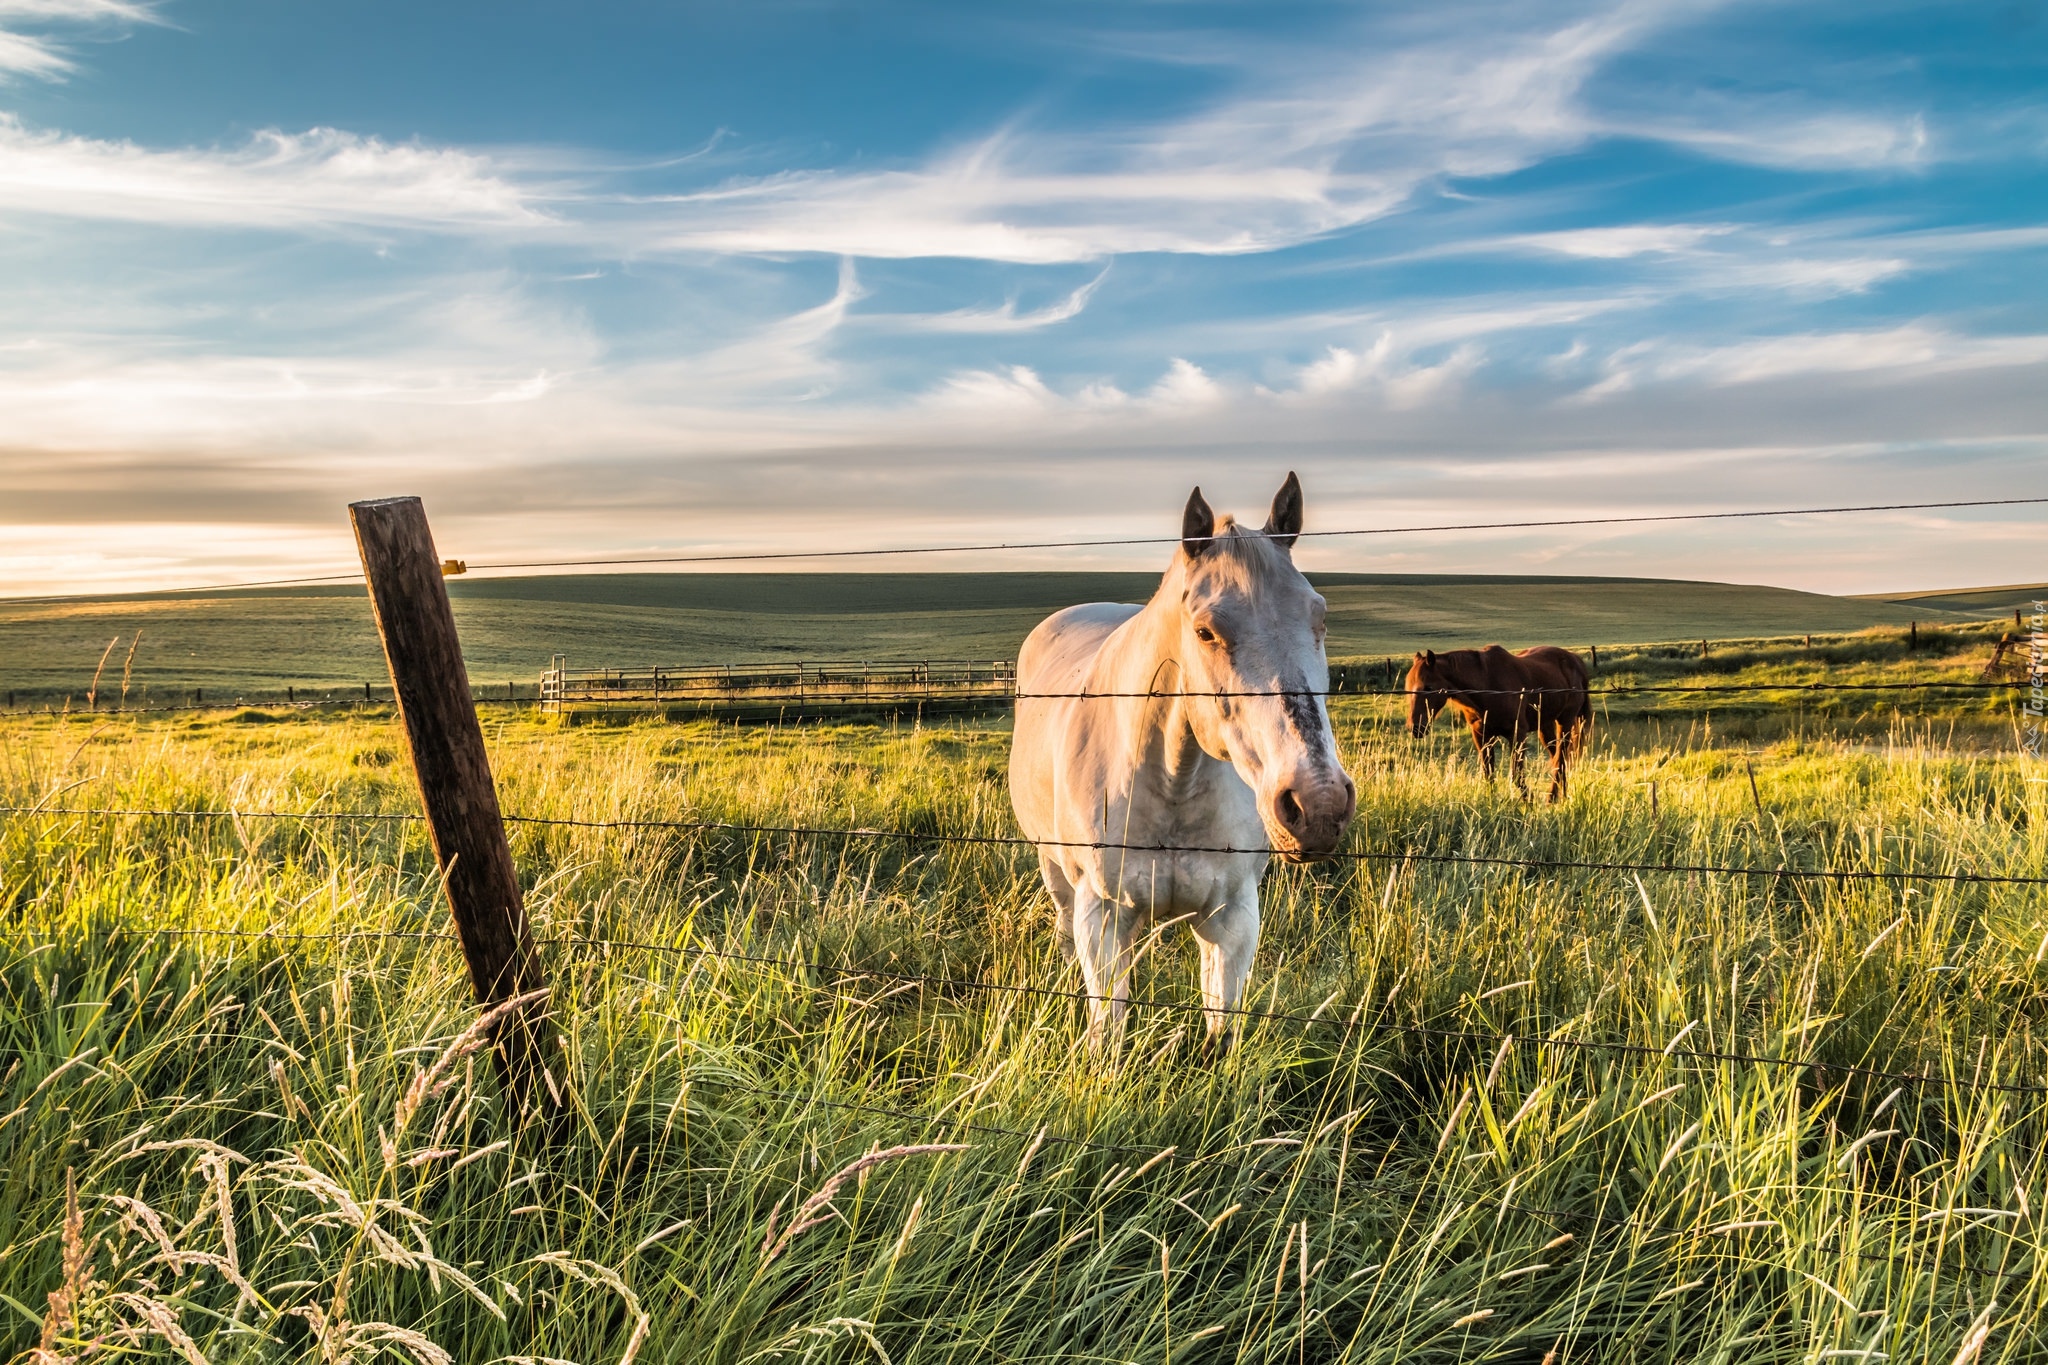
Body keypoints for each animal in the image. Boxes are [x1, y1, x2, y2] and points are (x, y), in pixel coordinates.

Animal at [1011, 474, 1359, 1055]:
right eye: (1205, 632)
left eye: (1322, 617)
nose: (1318, 805)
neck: (1175, 781)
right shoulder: (1101, 916)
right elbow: (1109, 1035)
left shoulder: (1233, 920)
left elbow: (1222, 1032)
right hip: (1056, 874)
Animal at [1417, 650, 1589, 802]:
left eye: (1428, 687)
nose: (1416, 726)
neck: (1486, 685)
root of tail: (1576, 660)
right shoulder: (1482, 735)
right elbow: (1488, 774)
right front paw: (1492, 801)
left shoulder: (1518, 734)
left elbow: (1517, 775)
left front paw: (1529, 802)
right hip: (1545, 726)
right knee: (1558, 759)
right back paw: (1561, 795)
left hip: (1565, 721)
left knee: (1561, 759)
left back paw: (1552, 798)